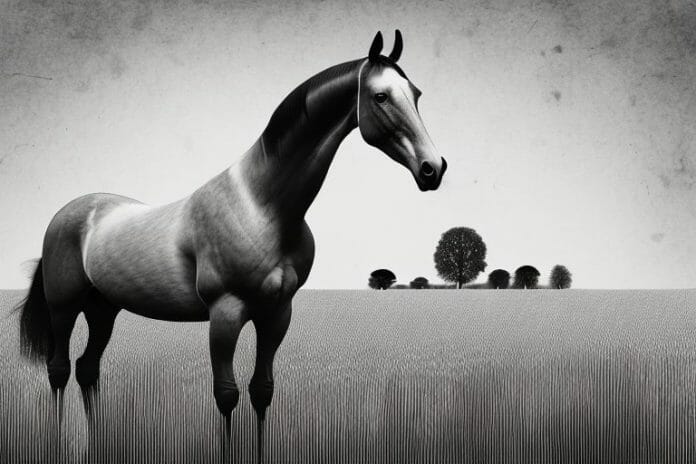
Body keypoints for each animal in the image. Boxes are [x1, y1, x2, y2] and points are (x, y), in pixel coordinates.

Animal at [17, 30, 447, 462]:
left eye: (416, 93)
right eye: (380, 96)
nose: (433, 169)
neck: (262, 206)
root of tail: (71, 212)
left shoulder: (277, 313)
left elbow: (262, 391)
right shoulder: (225, 313)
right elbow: (226, 396)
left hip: (104, 309)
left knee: (88, 369)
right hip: (64, 308)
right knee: (59, 369)